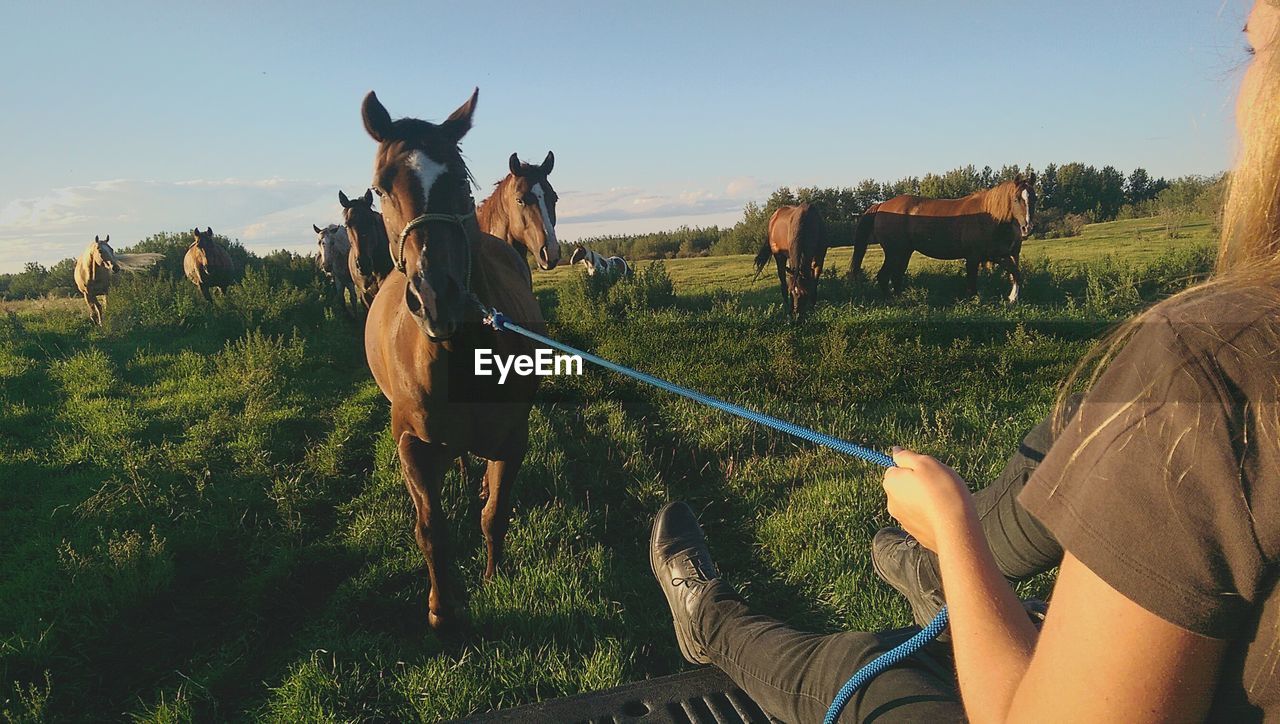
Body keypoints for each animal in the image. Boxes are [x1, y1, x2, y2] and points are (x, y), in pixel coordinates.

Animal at [360, 86, 545, 634]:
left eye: (460, 180)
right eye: (380, 188)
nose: (435, 296)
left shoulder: (512, 438)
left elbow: (495, 514)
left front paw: (492, 576)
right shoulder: (412, 445)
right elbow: (431, 528)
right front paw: (442, 607)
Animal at [849, 177, 1039, 305]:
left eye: (1034, 198)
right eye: (1016, 199)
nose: (1027, 228)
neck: (990, 217)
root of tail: (881, 205)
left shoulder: (999, 255)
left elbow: (1016, 273)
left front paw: (1012, 298)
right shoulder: (973, 257)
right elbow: (972, 283)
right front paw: (975, 301)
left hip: (904, 252)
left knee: (896, 276)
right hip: (894, 252)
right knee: (883, 276)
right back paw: (892, 301)